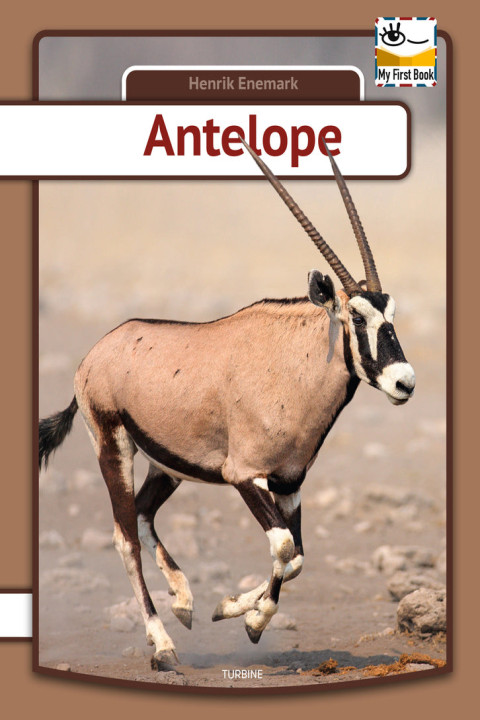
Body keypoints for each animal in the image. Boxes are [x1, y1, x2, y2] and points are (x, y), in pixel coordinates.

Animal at [39, 140, 415, 671]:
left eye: (391, 314)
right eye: (357, 316)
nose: (405, 381)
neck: (293, 364)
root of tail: (95, 353)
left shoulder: (289, 482)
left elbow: (297, 555)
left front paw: (235, 610)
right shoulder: (244, 475)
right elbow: (285, 546)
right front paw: (249, 616)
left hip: (167, 466)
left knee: (143, 513)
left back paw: (183, 601)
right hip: (113, 446)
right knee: (125, 537)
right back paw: (163, 644)